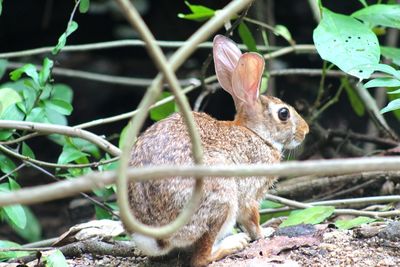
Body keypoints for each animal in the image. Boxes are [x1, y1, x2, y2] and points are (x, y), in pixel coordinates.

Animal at [128, 35, 310, 267]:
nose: (305, 130)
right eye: (284, 114)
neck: (257, 134)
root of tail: (158, 235)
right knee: (201, 257)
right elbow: (253, 219)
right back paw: (234, 243)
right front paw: (265, 232)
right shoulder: (250, 193)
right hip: (221, 198)